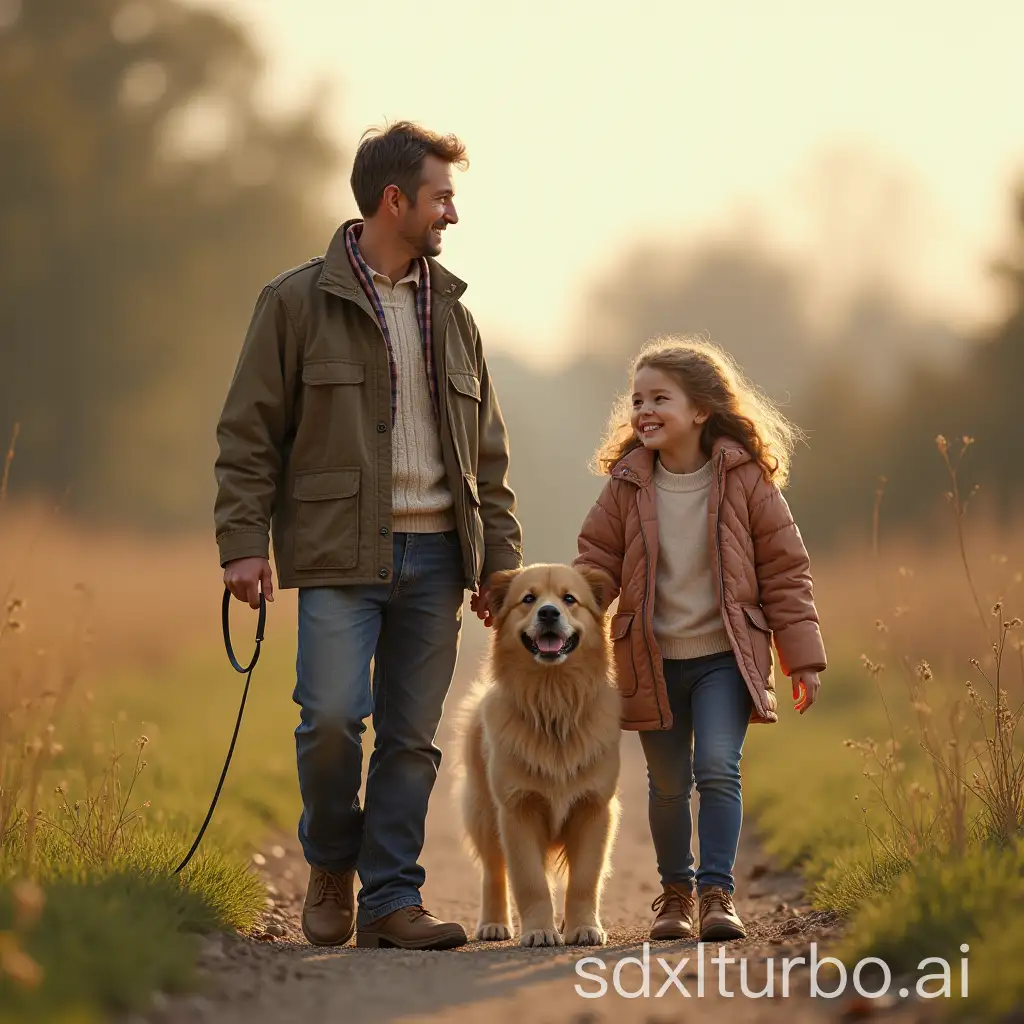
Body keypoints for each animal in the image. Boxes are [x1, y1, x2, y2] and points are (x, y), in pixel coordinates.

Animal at [456, 565, 622, 946]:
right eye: (528, 599)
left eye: (569, 598)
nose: (548, 613)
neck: (553, 700)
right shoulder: (517, 810)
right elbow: (529, 882)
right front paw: (540, 931)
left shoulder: (595, 809)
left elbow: (584, 880)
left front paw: (583, 927)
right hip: (483, 813)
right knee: (493, 871)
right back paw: (494, 924)